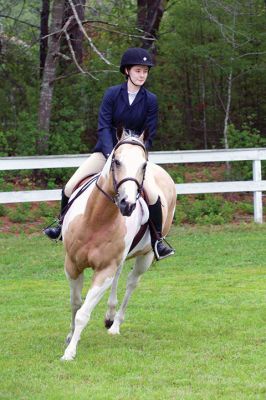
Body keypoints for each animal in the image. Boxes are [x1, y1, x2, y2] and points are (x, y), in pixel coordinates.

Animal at [60, 130, 177, 360]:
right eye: (116, 161)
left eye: (143, 165)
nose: (127, 204)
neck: (96, 219)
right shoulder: (72, 265)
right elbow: (75, 303)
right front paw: (69, 337)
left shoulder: (105, 270)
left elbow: (83, 313)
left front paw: (70, 352)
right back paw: (109, 316)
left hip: (146, 256)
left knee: (131, 282)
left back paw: (115, 325)